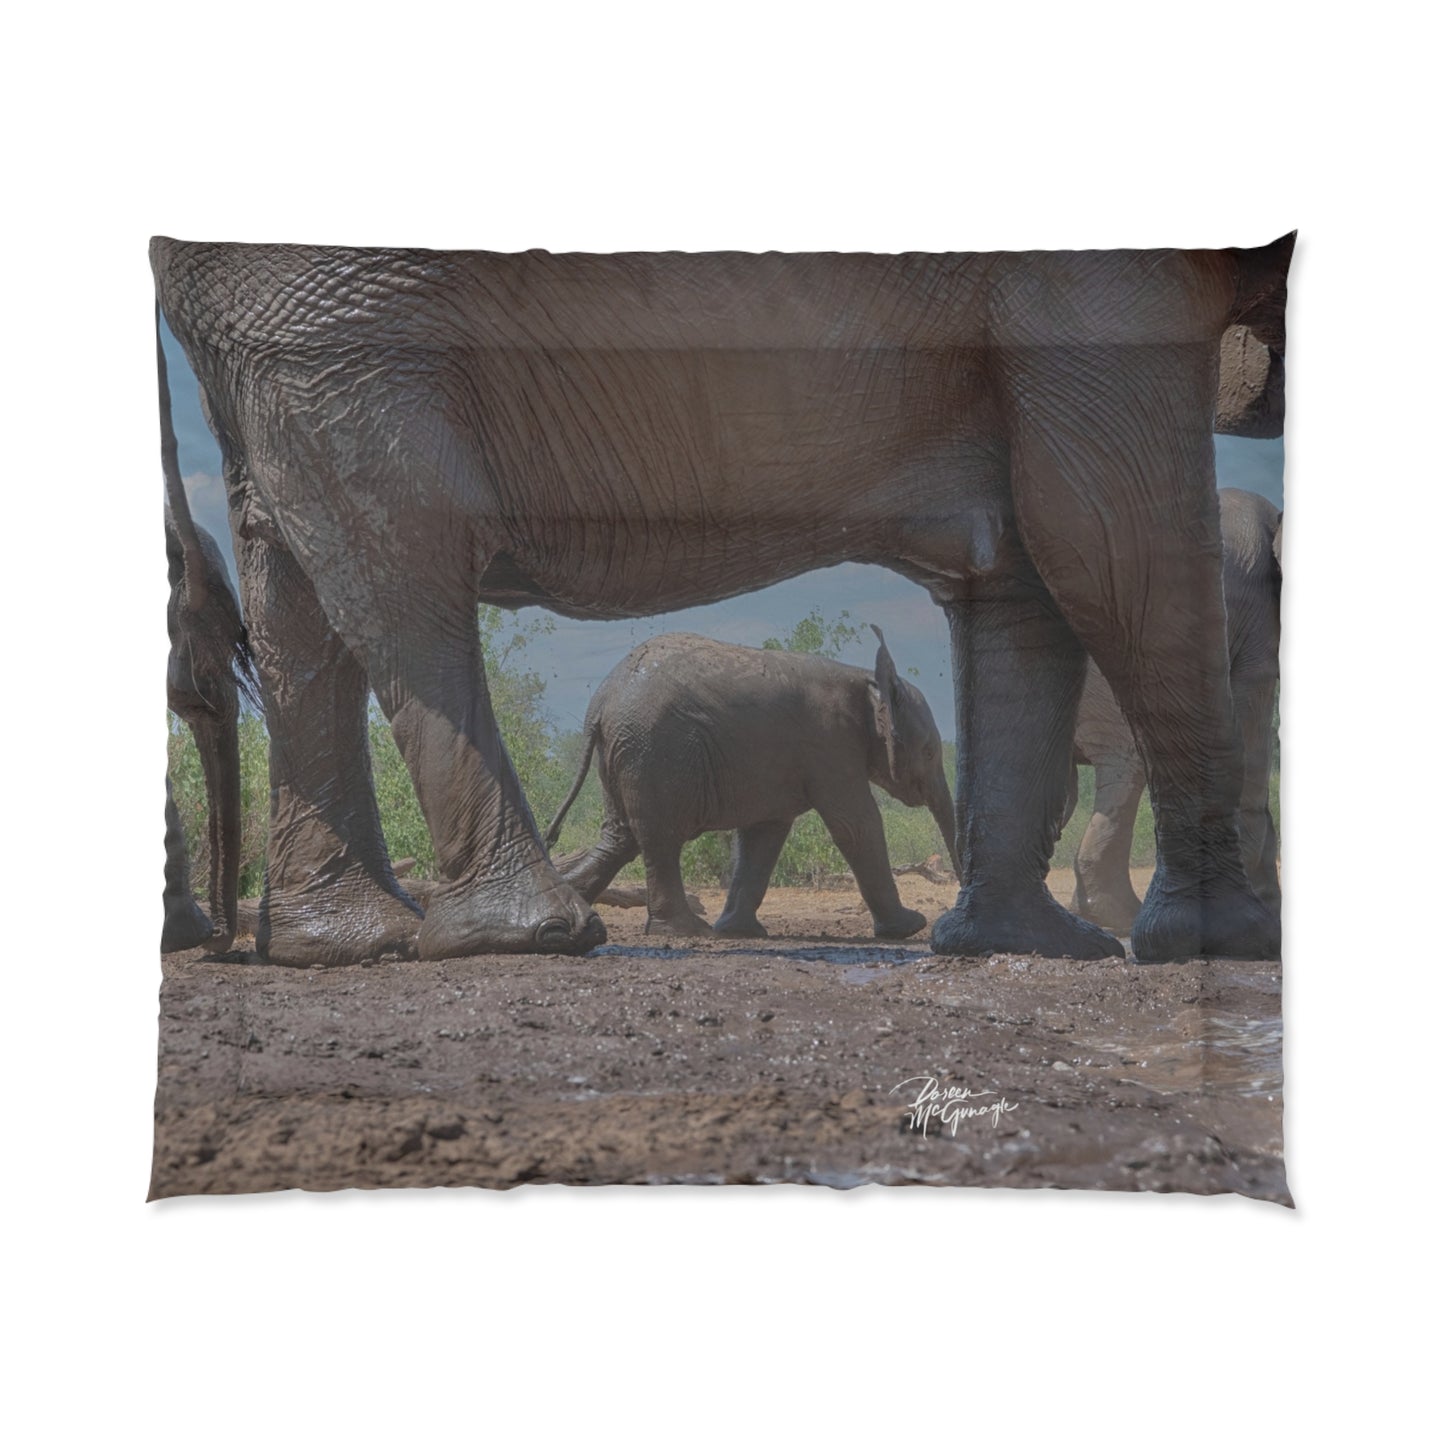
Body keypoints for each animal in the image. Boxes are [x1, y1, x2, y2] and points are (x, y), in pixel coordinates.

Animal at [543, 627, 959, 942]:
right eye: (928, 752)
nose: (949, 915)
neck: (867, 680)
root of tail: (600, 703)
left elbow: (763, 837)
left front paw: (741, 932)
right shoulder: (830, 744)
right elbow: (856, 825)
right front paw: (911, 927)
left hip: (624, 752)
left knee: (619, 839)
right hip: (653, 749)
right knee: (659, 839)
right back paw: (687, 931)